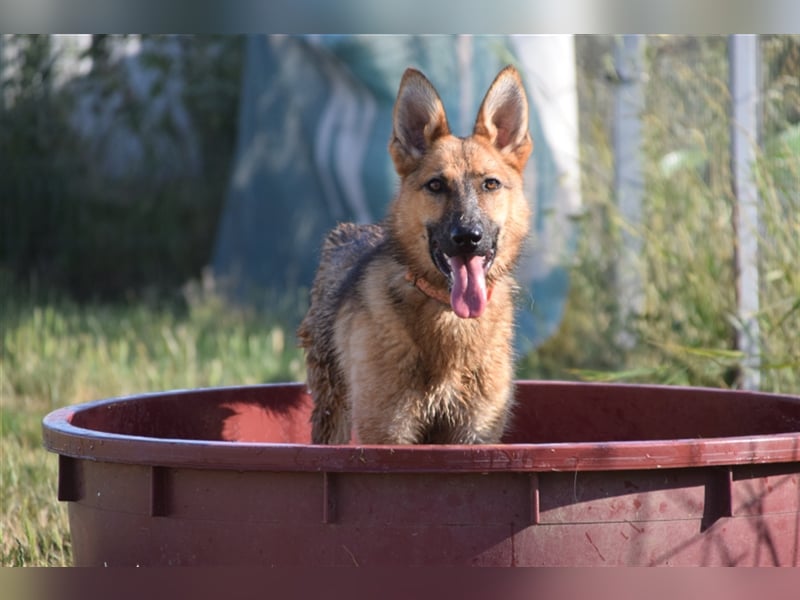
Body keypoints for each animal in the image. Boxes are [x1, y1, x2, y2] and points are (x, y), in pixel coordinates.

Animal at [298, 65, 532, 446]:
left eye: (491, 184)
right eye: (436, 185)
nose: (468, 238)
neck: (449, 320)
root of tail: (350, 230)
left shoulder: (475, 435)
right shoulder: (388, 434)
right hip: (334, 413)